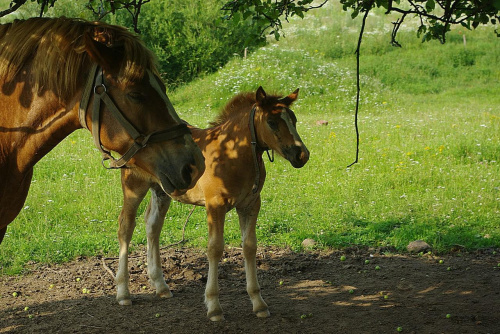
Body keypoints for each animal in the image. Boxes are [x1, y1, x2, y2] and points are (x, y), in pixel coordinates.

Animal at [115, 87, 308, 320]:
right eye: (271, 122)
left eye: (294, 119)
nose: (301, 155)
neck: (233, 155)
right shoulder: (215, 205)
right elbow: (215, 249)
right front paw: (214, 306)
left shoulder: (251, 204)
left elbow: (250, 247)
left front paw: (259, 303)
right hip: (134, 186)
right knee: (126, 226)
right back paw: (123, 293)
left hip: (162, 190)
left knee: (152, 225)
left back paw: (161, 286)